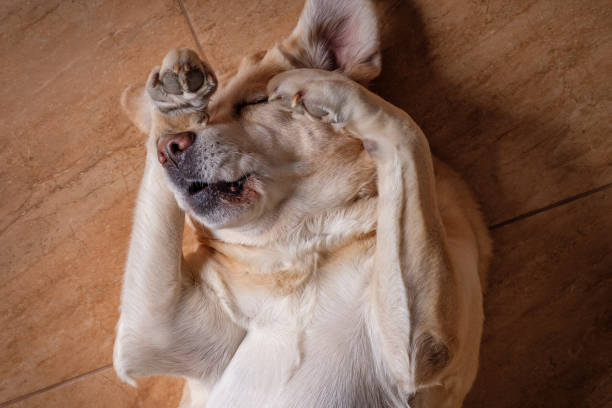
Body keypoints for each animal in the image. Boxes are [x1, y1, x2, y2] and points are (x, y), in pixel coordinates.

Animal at [112, 1, 490, 406]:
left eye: (253, 103)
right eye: (201, 118)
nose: (169, 150)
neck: (305, 243)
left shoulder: (420, 351)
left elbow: (404, 128)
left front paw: (328, 87)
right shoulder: (151, 327)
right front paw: (172, 98)